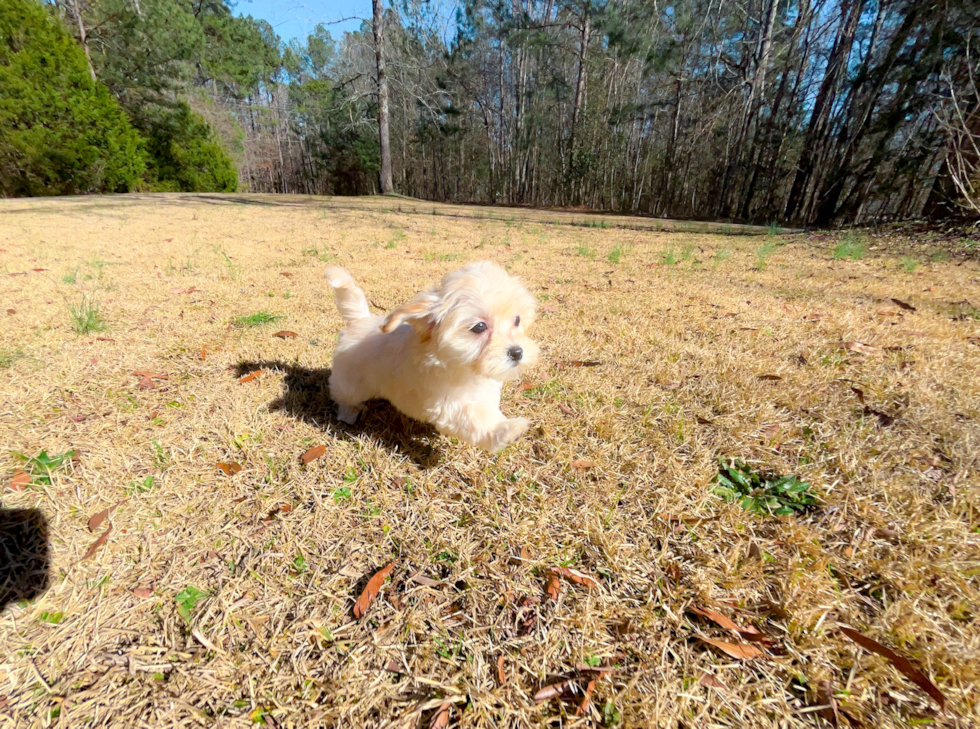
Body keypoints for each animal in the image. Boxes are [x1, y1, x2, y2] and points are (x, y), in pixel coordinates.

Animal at [326, 262, 540, 452]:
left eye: (517, 320)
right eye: (479, 327)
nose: (517, 352)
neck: (467, 369)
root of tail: (360, 320)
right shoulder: (448, 405)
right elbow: (475, 417)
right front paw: (507, 430)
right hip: (351, 382)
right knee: (343, 395)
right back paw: (348, 413)